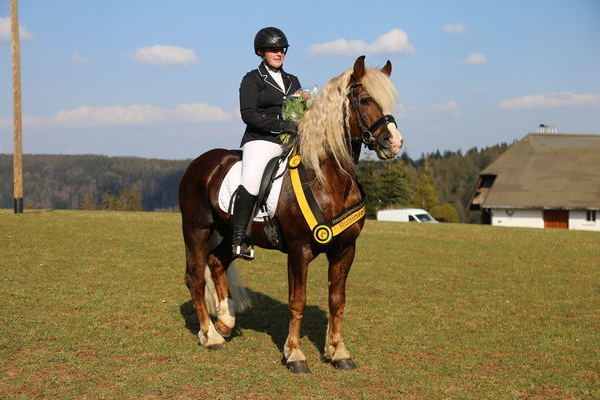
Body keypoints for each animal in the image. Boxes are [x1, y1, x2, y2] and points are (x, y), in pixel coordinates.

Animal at [178, 54, 404, 374]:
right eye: (364, 99)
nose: (393, 143)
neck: (328, 180)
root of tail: (200, 162)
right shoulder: (299, 251)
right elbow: (297, 301)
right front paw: (295, 355)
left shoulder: (346, 249)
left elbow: (337, 300)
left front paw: (339, 352)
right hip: (196, 229)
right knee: (196, 277)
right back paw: (210, 336)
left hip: (230, 233)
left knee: (217, 261)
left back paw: (225, 322)